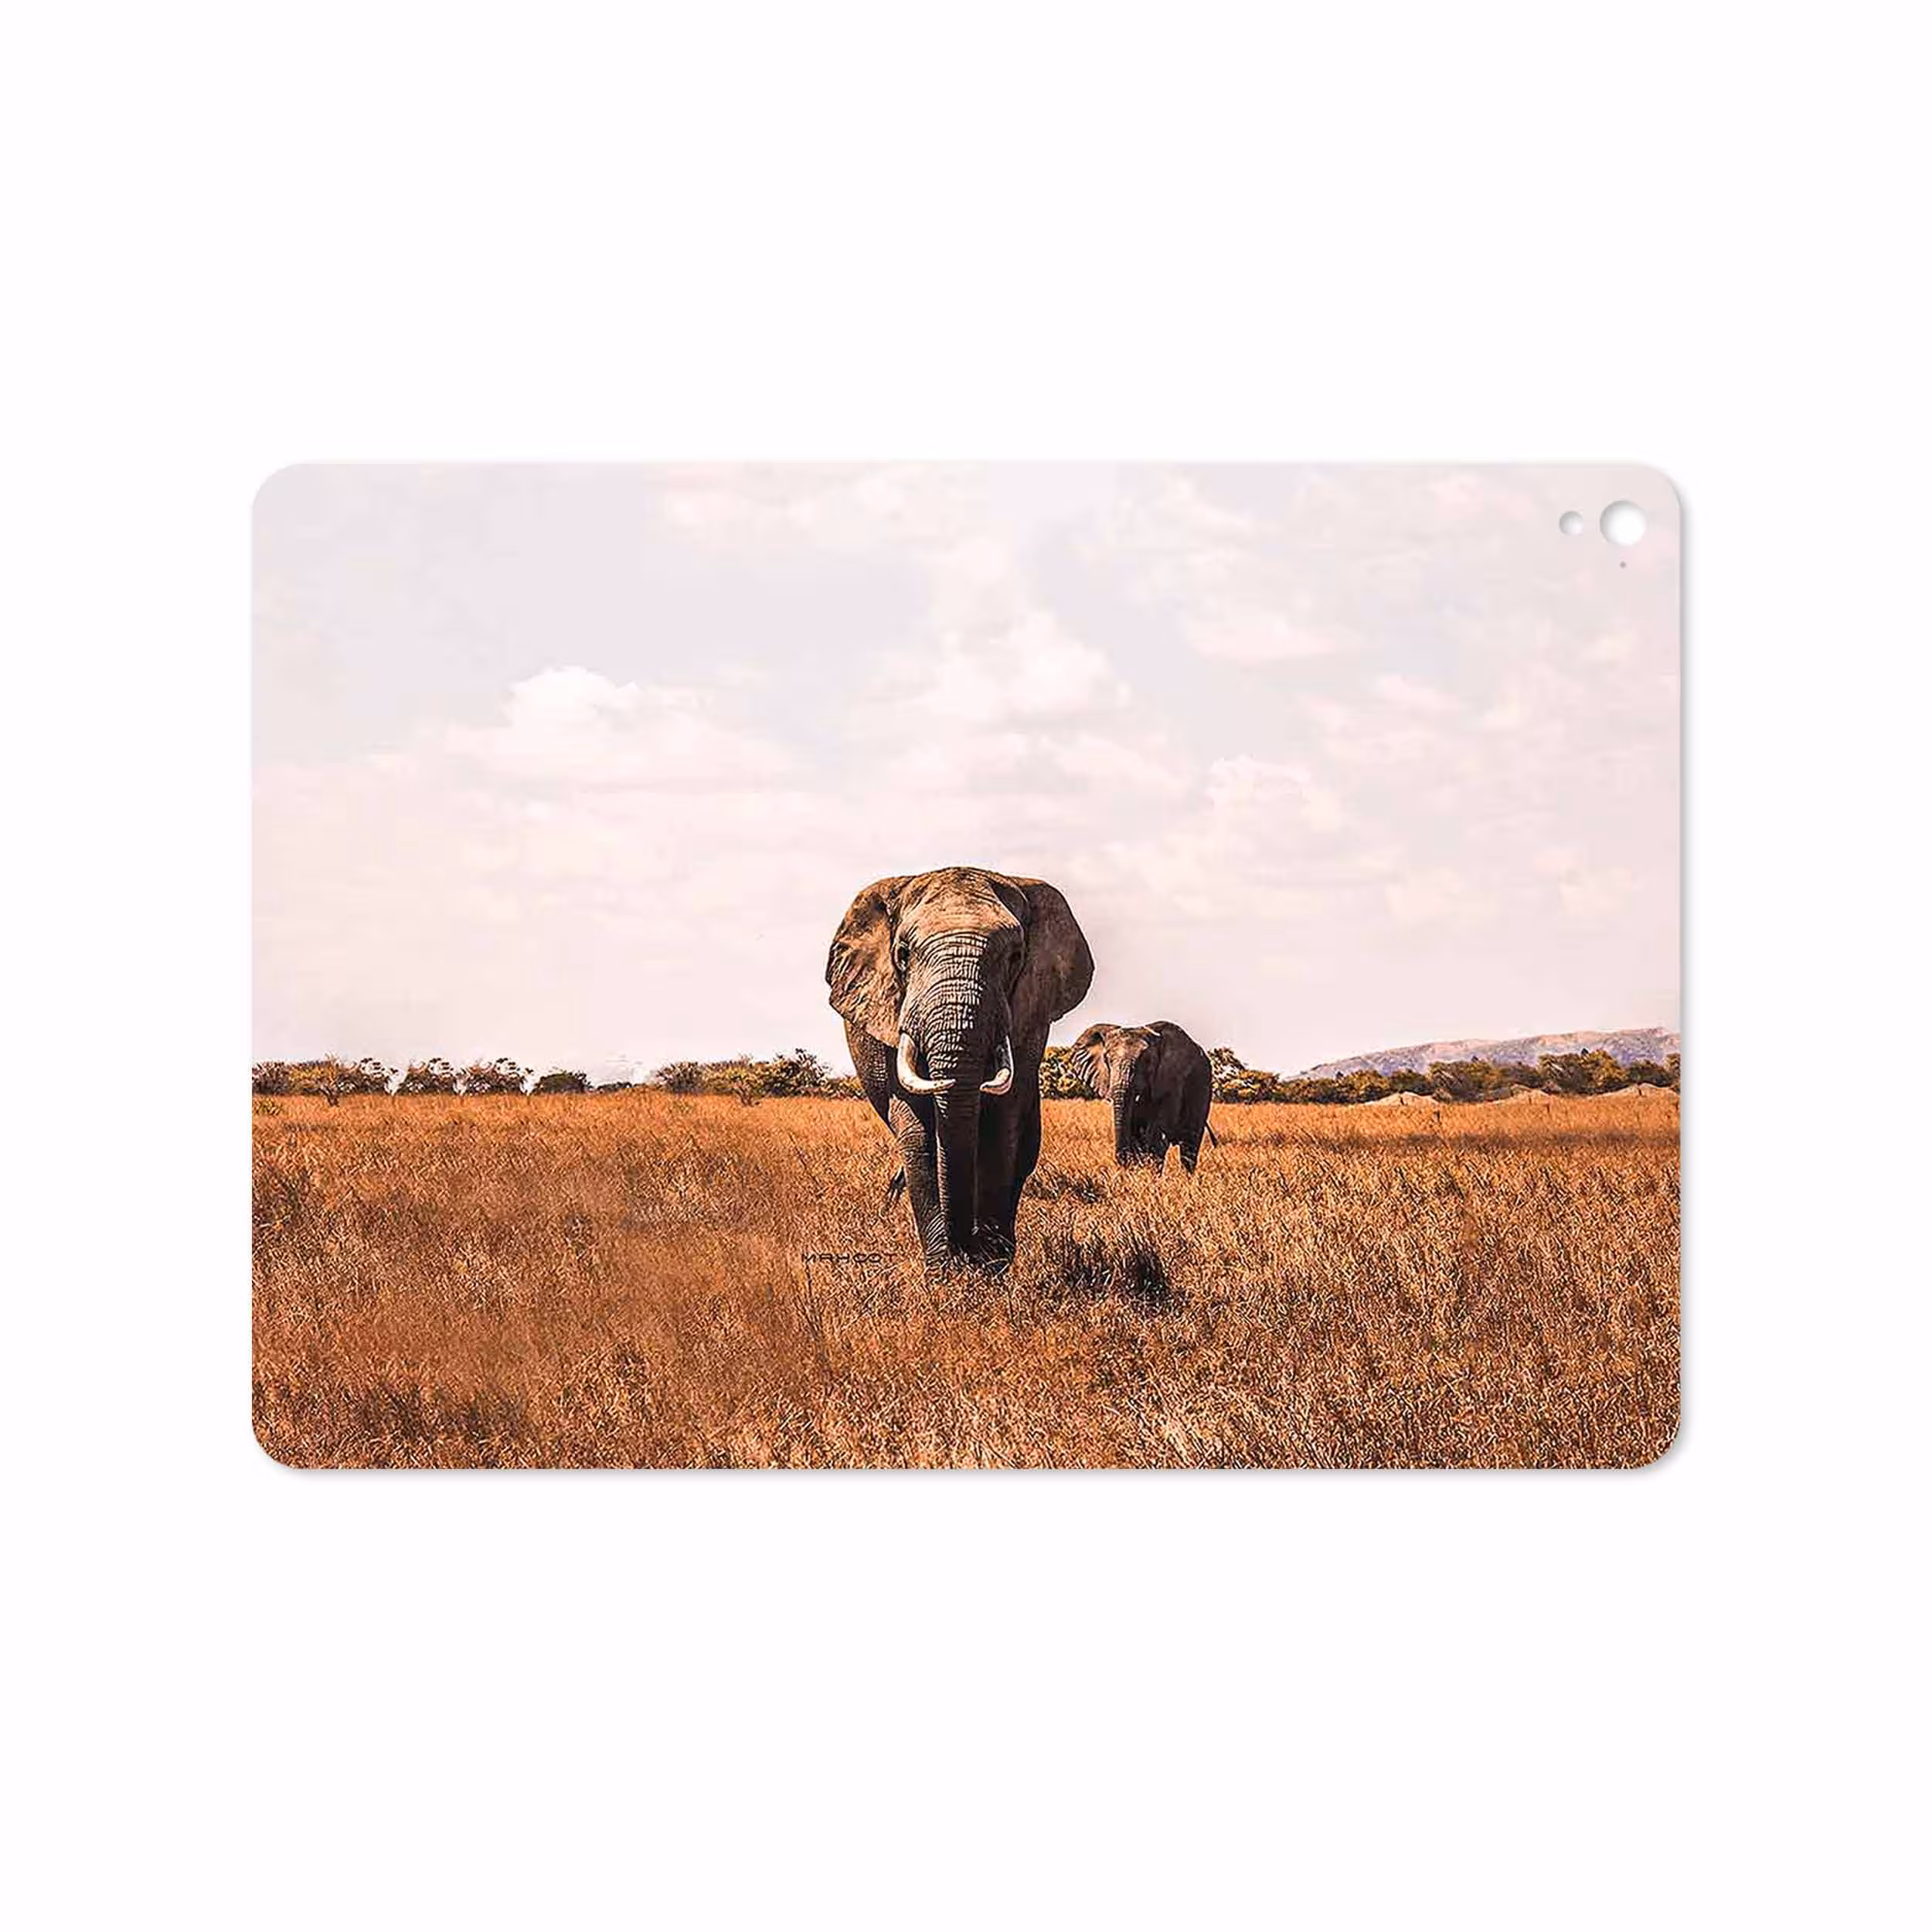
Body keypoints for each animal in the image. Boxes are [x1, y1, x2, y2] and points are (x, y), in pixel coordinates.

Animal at [827, 866, 1094, 1269]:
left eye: (1015, 956)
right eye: (903, 955)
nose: (965, 1249)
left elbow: (1003, 1124)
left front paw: (989, 1268)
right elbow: (918, 1132)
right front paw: (945, 1273)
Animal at [1071, 1020, 1216, 1172]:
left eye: (1146, 1061)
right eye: (1106, 1060)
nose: (1122, 1162)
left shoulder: (1172, 1079)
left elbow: (1157, 1134)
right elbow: (1136, 1133)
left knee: (1189, 1145)